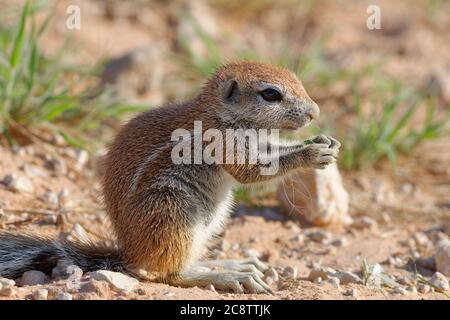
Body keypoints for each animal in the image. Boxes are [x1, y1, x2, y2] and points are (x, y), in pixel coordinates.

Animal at [0, 61, 338, 294]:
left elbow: (273, 151)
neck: (222, 114)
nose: (315, 112)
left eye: (297, 80)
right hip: (173, 212)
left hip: (209, 222)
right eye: (271, 94)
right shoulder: (225, 142)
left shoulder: (260, 142)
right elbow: (250, 172)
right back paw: (227, 275)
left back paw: (231, 264)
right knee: (167, 273)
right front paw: (311, 154)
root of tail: (129, 254)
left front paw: (324, 143)